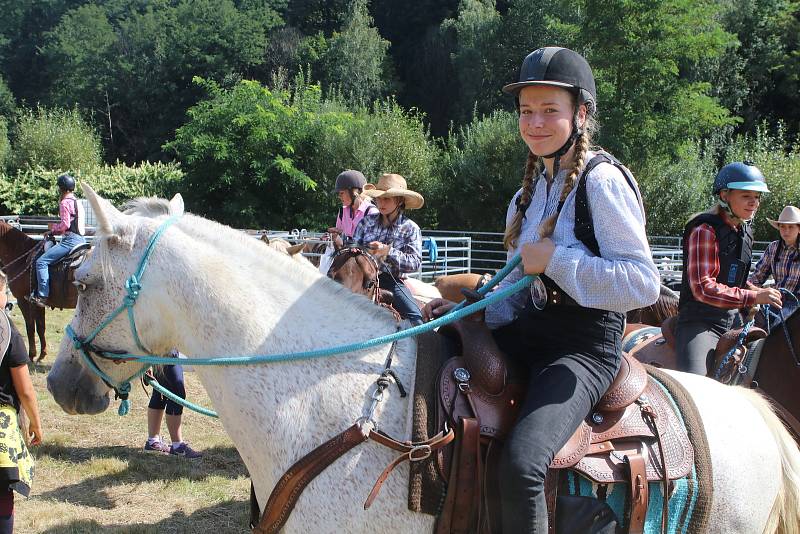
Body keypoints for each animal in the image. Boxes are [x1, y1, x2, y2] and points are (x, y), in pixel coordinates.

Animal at [0, 220, 80, 362]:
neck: (22, 257)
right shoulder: (38, 303)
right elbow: (41, 327)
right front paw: (42, 354)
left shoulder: (23, 301)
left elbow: (30, 327)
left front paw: (31, 355)